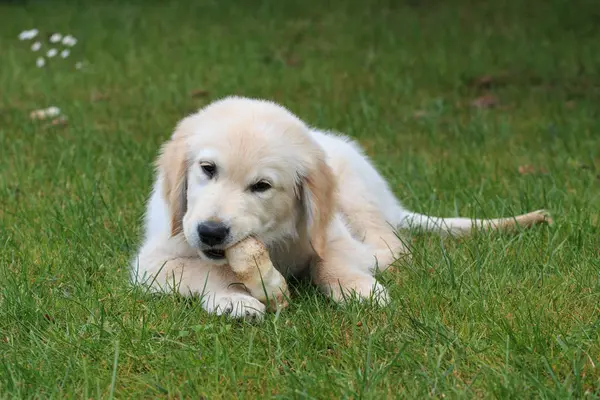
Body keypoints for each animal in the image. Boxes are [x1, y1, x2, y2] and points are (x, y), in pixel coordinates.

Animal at [132, 96, 552, 318]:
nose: (211, 232)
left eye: (261, 186)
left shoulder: (327, 233)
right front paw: (234, 298)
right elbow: (205, 270)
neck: (271, 242)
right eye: (207, 169)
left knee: (391, 245)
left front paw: (357, 287)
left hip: (354, 191)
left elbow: (327, 259)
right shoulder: (153, 261)